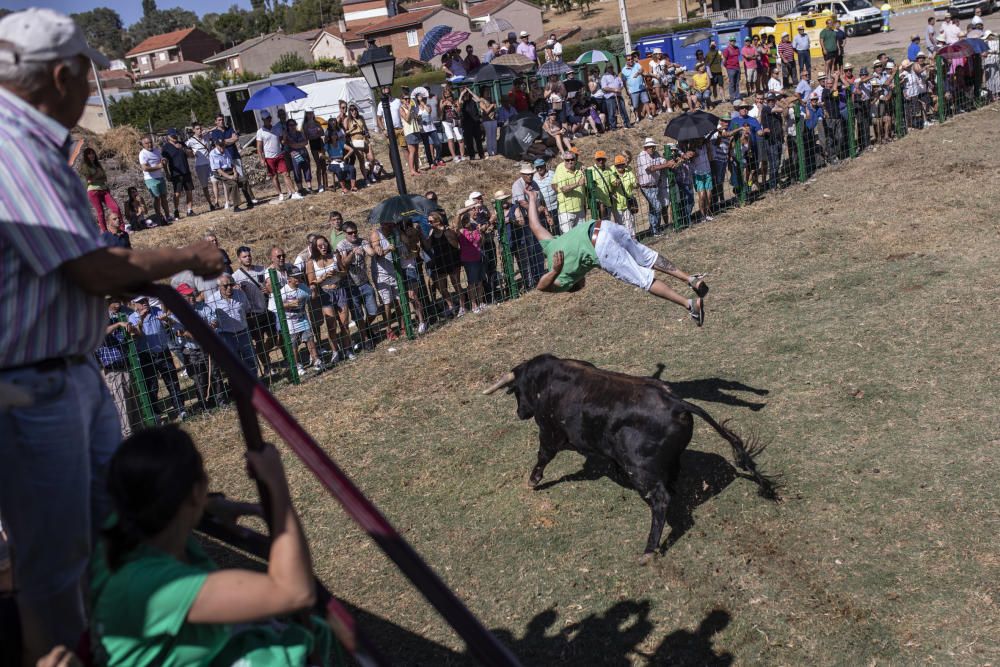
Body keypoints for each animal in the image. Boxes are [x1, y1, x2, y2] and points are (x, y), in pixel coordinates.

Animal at [484, 354, 780, 560]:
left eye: (517, 392)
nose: (520, 413)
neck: (546, 379)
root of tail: (677, 404)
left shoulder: (549, 433)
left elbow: (543, 456)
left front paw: (533, 480)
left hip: (641, 470)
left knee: (660, 500)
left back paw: (649, 549)